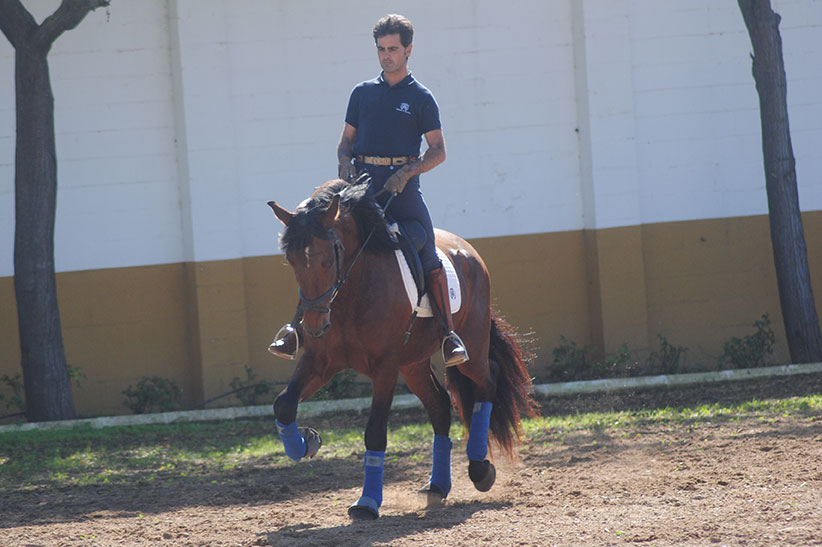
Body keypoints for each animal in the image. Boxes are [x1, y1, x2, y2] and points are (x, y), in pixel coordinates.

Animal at [268, 181, 544, 524]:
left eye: (329, 256)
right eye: (292, 260)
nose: (315, 325)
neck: (352, 289)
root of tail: (466, 249)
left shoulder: (384, 368)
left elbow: (375, 433)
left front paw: (367, 502)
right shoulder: (320, 361)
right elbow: (284, 404)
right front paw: (306, 444)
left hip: (470, 348)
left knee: (487, 381)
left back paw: (480, 470)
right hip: (412, 364)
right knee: (440, 406)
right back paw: (438, 485)